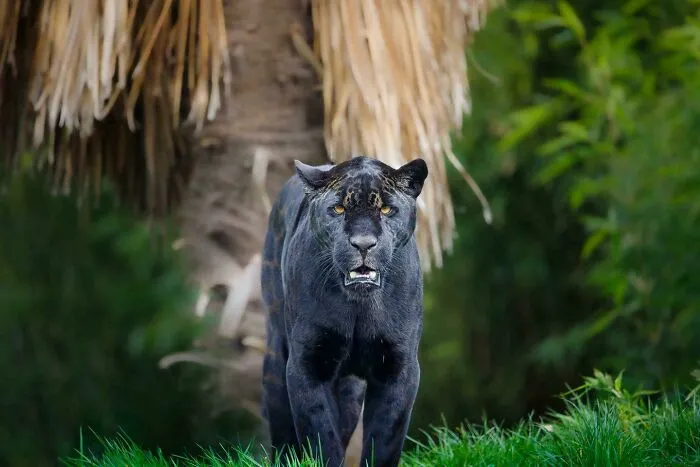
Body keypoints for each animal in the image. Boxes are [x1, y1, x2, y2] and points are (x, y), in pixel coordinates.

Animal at [260, 155, 428, 467]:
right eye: (338, 209)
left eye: (385, 208)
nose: (363, 243)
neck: (359, 307)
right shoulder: (308, 363)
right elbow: (320, 434)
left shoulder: (398, 366)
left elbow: (384, 439)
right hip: (276, 356)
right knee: (282, 430)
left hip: (351, 389)